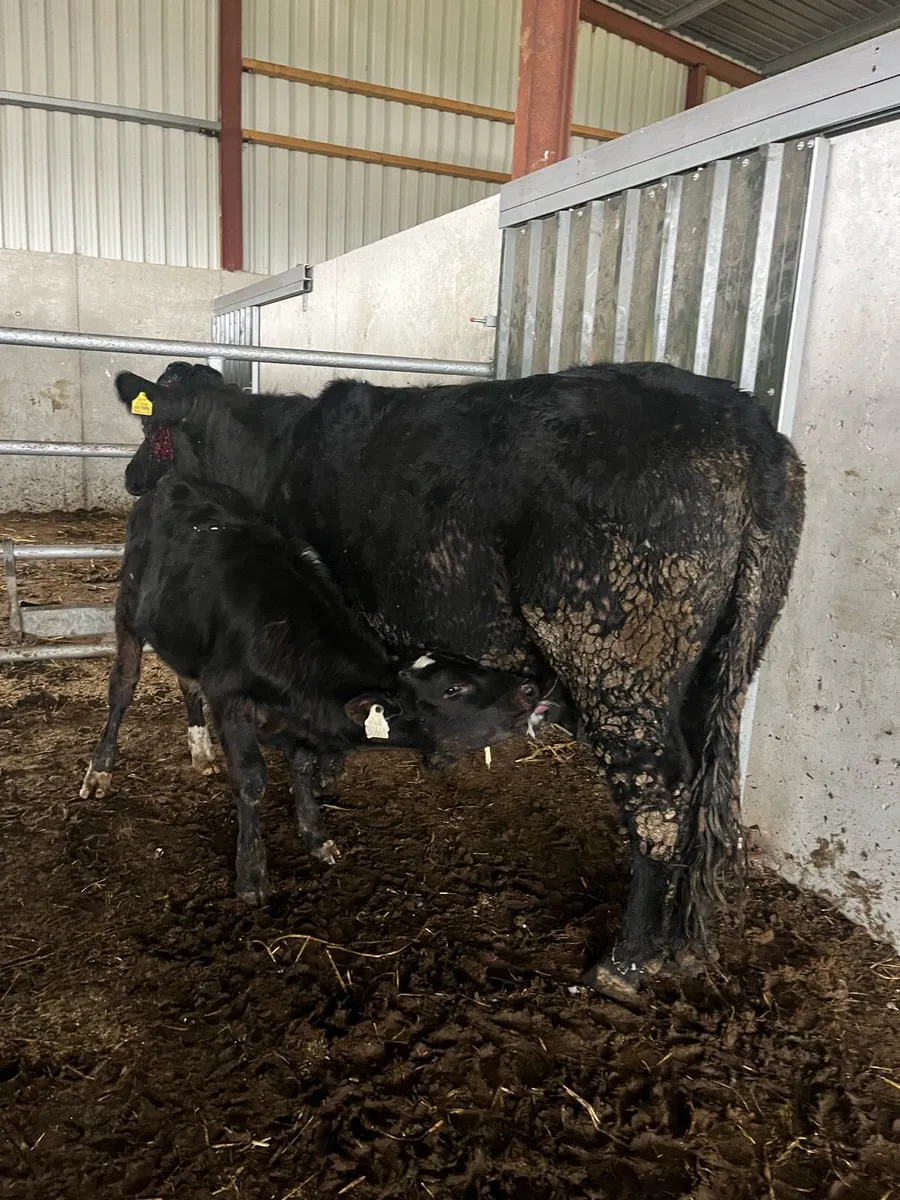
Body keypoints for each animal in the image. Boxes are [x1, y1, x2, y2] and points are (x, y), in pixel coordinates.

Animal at [81, 474, 548, 902]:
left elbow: (303, 767)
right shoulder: (231, 700)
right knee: (122, 687)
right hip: (128, 611)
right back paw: (100, 770)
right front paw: (251, 873)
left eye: (471, 665)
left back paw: (200, 749)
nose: (529, 689)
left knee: (186, 681)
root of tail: (172, 481)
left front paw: (316, 836)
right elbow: (251, 780)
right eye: (453, 690)